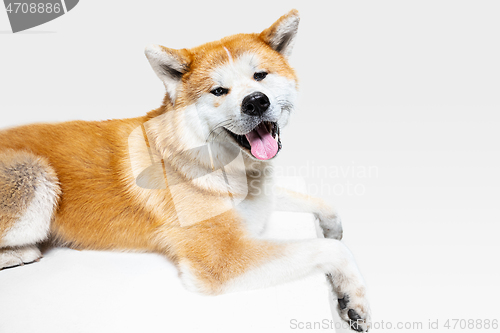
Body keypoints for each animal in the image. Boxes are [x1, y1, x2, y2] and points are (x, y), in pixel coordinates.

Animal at [0, 9, 372, 330]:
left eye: (260, 75)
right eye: (219, 91)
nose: (255, 101)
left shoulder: (261, 198)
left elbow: (321, 207)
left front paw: (333, 229)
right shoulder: (223, 260)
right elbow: (332, 250)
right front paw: (353, 296)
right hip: (36, 174)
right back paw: (22, 252)